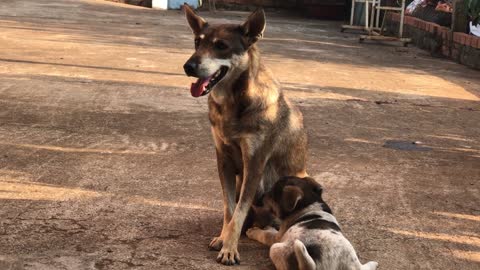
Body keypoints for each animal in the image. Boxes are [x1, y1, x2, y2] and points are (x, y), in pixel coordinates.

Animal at [184, 6, 308, 266]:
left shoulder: (254, 164)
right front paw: (224, 239)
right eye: (197, 42)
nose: (188, 66)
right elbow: (230, 209)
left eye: (221, 45)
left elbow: (238, 211)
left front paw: (230, 249)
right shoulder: (224, 161)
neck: (234, 102)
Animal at [248, 176, 378, 270]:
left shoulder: (277, 237)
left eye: (272, 195)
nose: (260, 197)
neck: (309, 202)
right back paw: (373, 264)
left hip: (275, 248)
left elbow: (265, 234)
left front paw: (254, 231)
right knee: (361, 268)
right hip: (352, 260)